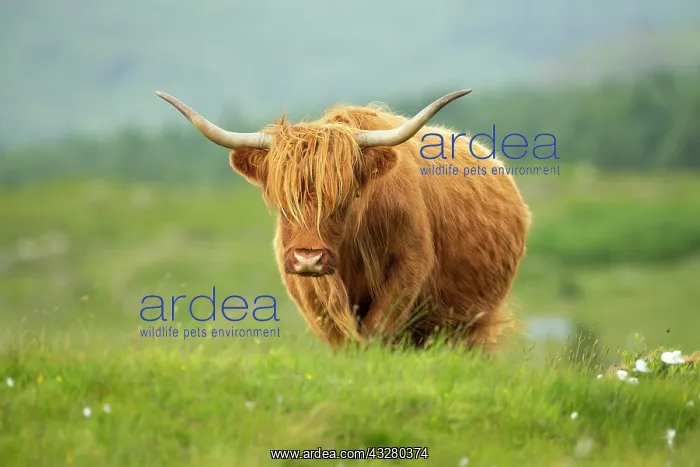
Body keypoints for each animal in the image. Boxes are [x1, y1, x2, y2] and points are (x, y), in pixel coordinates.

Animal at [155, 89, 531, 351]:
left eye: (342, 201)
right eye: (283, 203)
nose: (308, 258)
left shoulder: (409, 268)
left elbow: (377, 330)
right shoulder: (311, 290)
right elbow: (342, 336)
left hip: (475, 320)